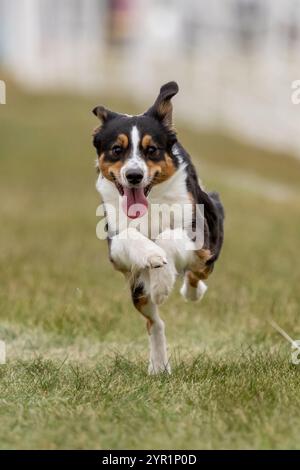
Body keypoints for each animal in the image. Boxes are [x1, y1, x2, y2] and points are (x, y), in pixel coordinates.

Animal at [92, 81, 224, 374]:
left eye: (151, 149)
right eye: (116, 149)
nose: (134, 176)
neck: (151, 202)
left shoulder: (200, 235)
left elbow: (169, 236)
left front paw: (163, 281)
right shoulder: (115, 249)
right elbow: (130, 236)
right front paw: (153, 259)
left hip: (209, 248)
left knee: (197, 274)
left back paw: (190, 291)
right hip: (137, 292)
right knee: (155, 322)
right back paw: (159, 365)